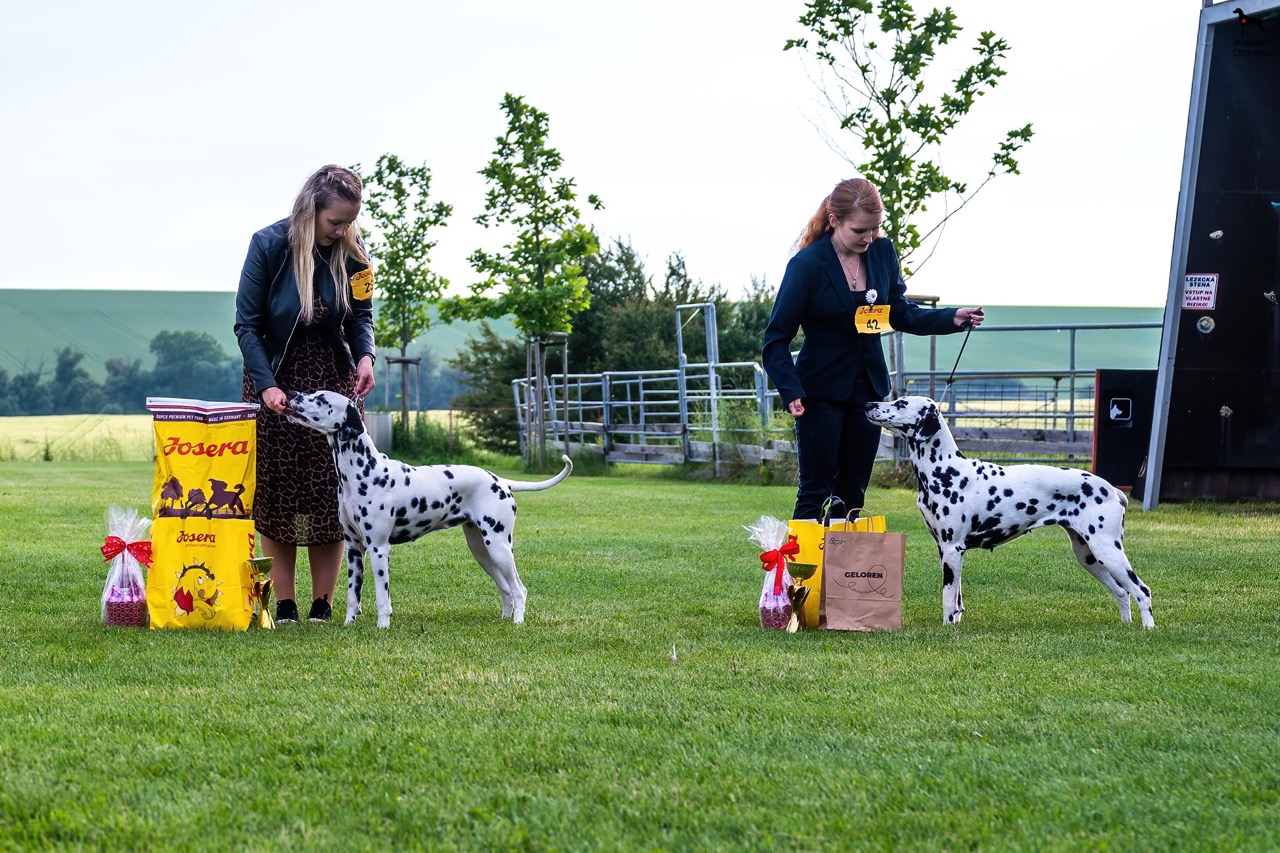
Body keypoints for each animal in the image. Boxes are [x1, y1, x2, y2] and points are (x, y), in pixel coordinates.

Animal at [283, 390, 572, 628]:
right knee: (507, 589)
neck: (362, 472)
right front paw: (348, 625)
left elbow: (382, 597)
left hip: (499, 548)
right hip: (482, 551)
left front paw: (383, 627)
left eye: (321, 398)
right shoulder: (354, 549)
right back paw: (505, 617)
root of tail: (500, 480)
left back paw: (518, 622)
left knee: (519, 589)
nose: (293, 392)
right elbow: (354, 596)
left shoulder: (378, 549)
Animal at [865, 396, 1154, 628]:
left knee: (1142, 590)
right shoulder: (945, 550)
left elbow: (948, 598)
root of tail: (1112, 489)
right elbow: (957, 597)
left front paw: (947, 628)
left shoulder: (952, 549)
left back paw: (1147, 629)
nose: (868, 404)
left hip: (1107, 550)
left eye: (901, 403)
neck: (945, 469)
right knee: (1122, 592)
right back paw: (1126, 625)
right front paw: (955, 622)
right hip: (1088, 556)